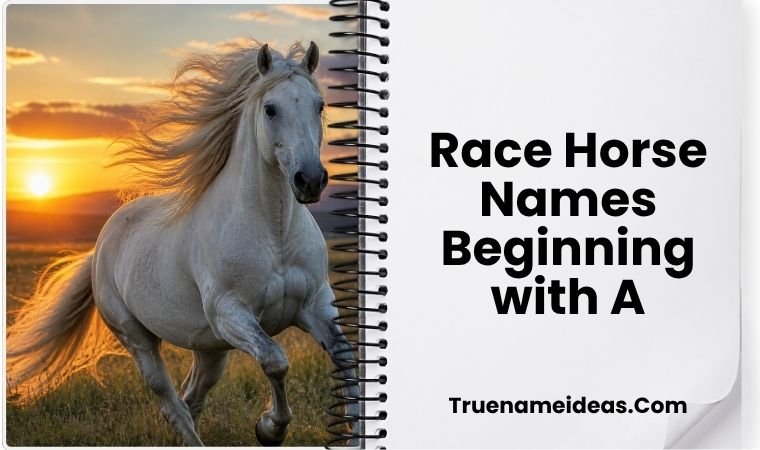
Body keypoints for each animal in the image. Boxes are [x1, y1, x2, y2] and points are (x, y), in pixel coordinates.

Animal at [6, 41, 359, 446]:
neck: (275, 234)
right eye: (270, 108)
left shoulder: (315, 305)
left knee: (192, 397)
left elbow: (345, 357)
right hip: (138, 339)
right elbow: (275, 360)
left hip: (210, 348)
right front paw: (269, 427)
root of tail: (101, 245)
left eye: (320, 105)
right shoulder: (230, 312)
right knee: (172, 404)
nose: (310, 180)